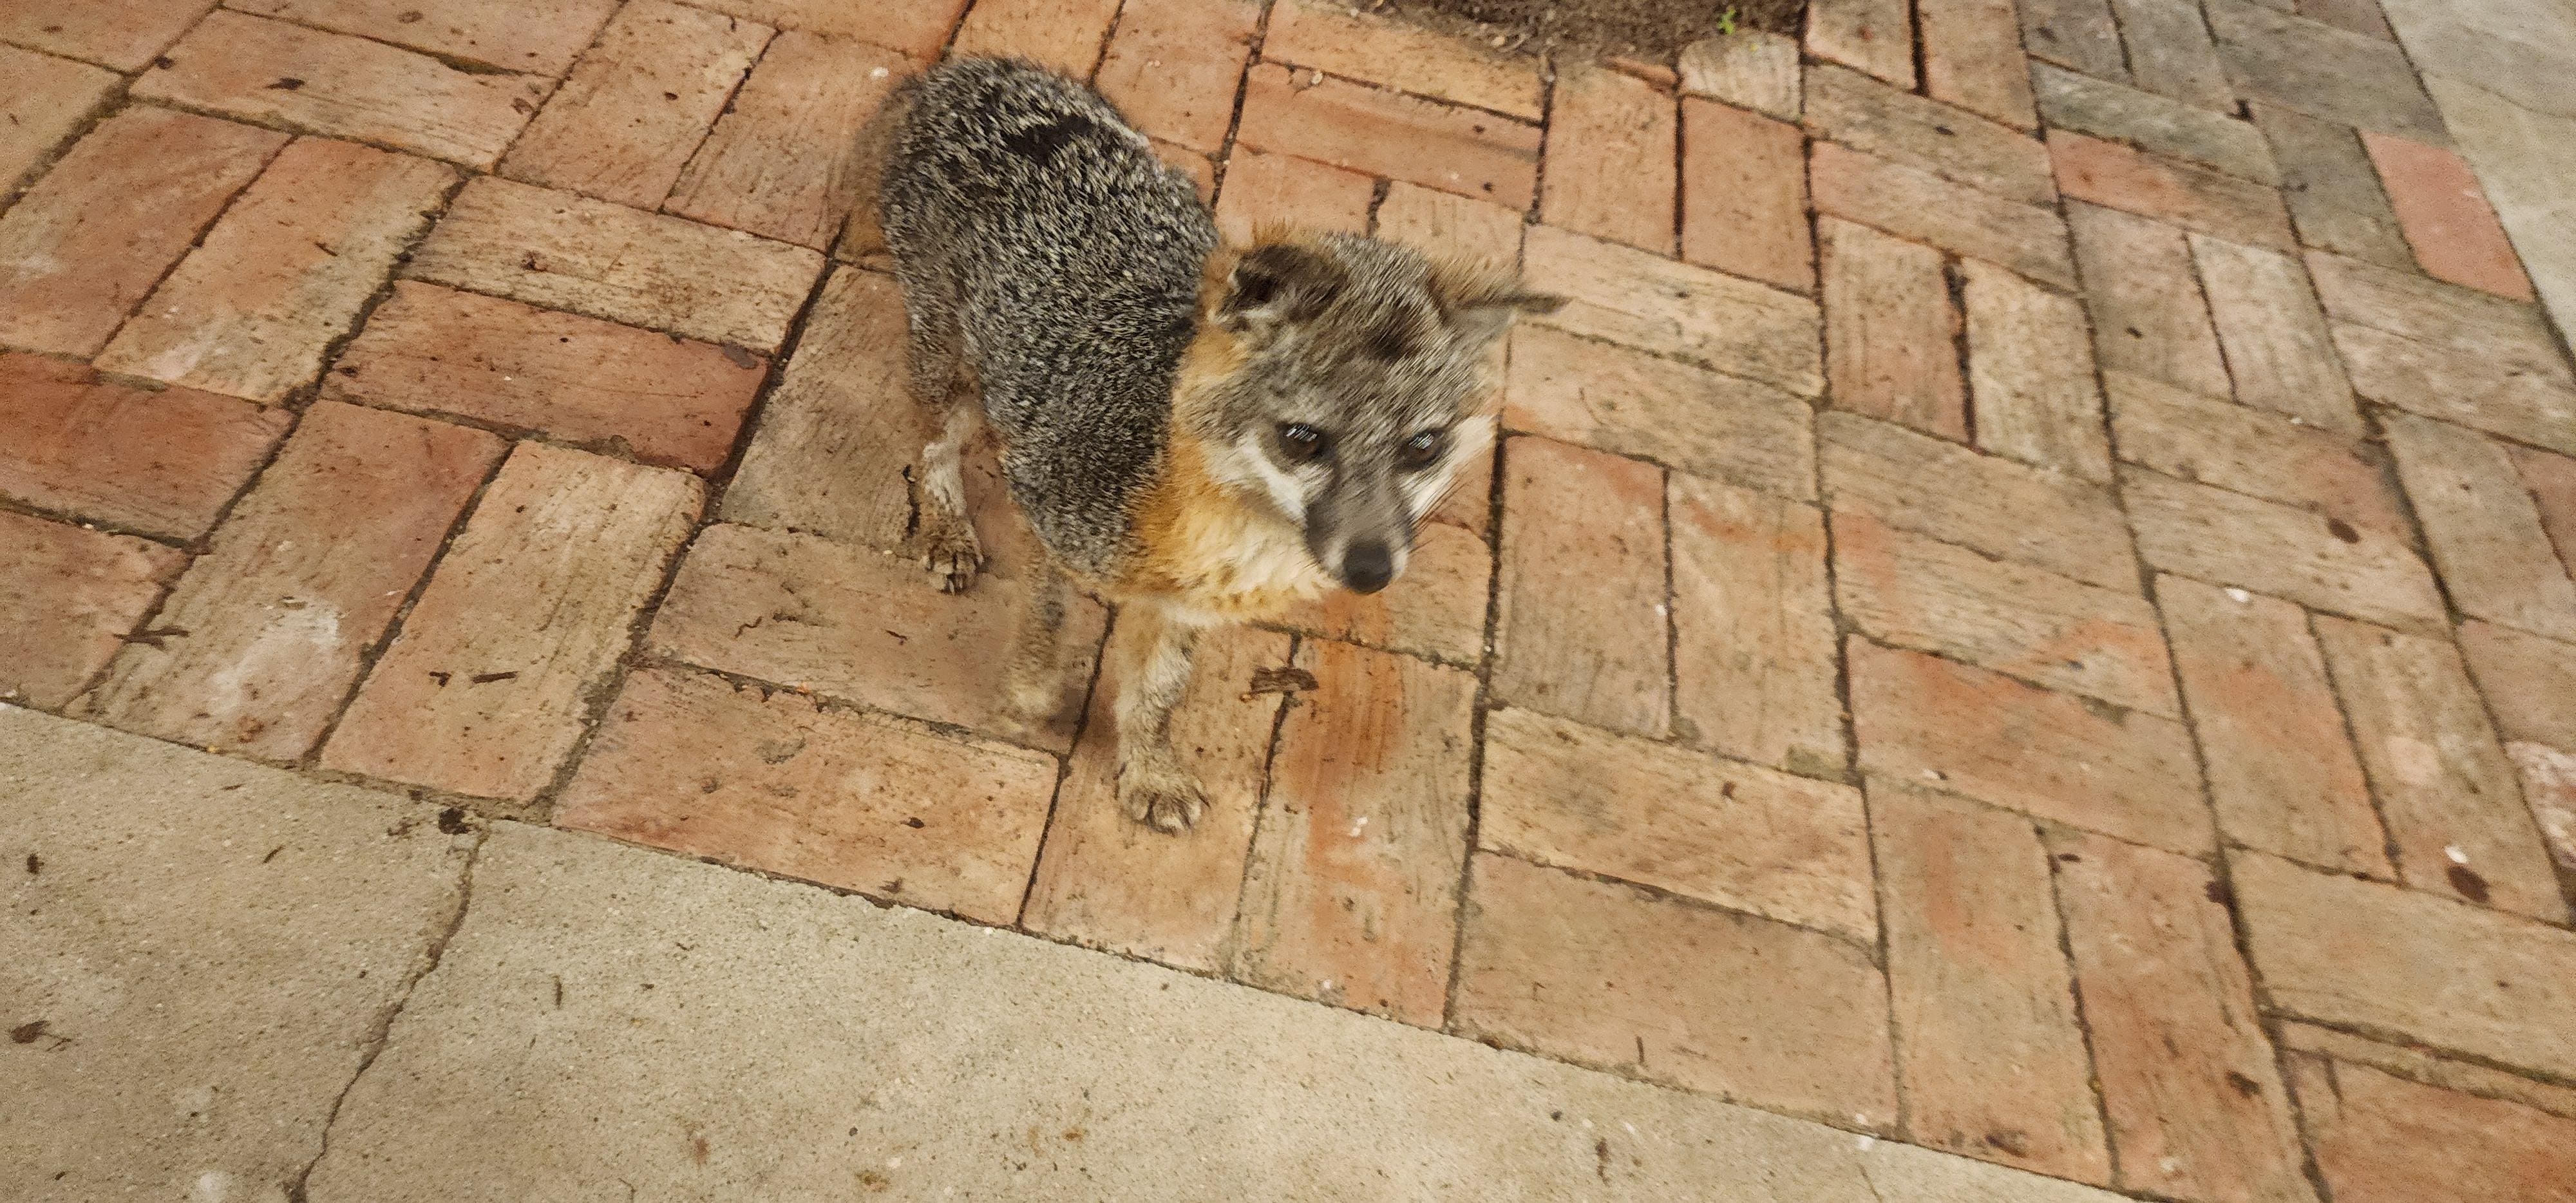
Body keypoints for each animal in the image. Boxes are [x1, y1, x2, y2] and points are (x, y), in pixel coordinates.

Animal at [845, 57, 1560, 832]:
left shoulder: (1184, 607)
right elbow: (1046, 620)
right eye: (1302, 439)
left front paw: (1149, 769)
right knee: (933, 444)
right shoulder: (1045, 510)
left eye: (1423, 447)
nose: (1371, 570)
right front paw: (1028, 697)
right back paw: (947, 527)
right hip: (946, 367)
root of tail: (970, 70)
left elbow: (1158, 693)